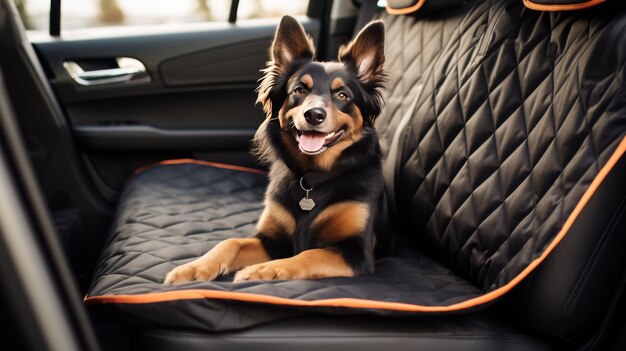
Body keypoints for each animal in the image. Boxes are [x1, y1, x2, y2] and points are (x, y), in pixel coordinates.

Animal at [163, 16, 382, 284]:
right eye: (299, 90)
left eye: (342, 95)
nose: (314, 115)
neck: (313, 180)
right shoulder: (272, 240)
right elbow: (231, 241)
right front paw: (194, 267)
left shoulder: (356, 253)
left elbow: (308, 255)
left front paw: (263, 270)